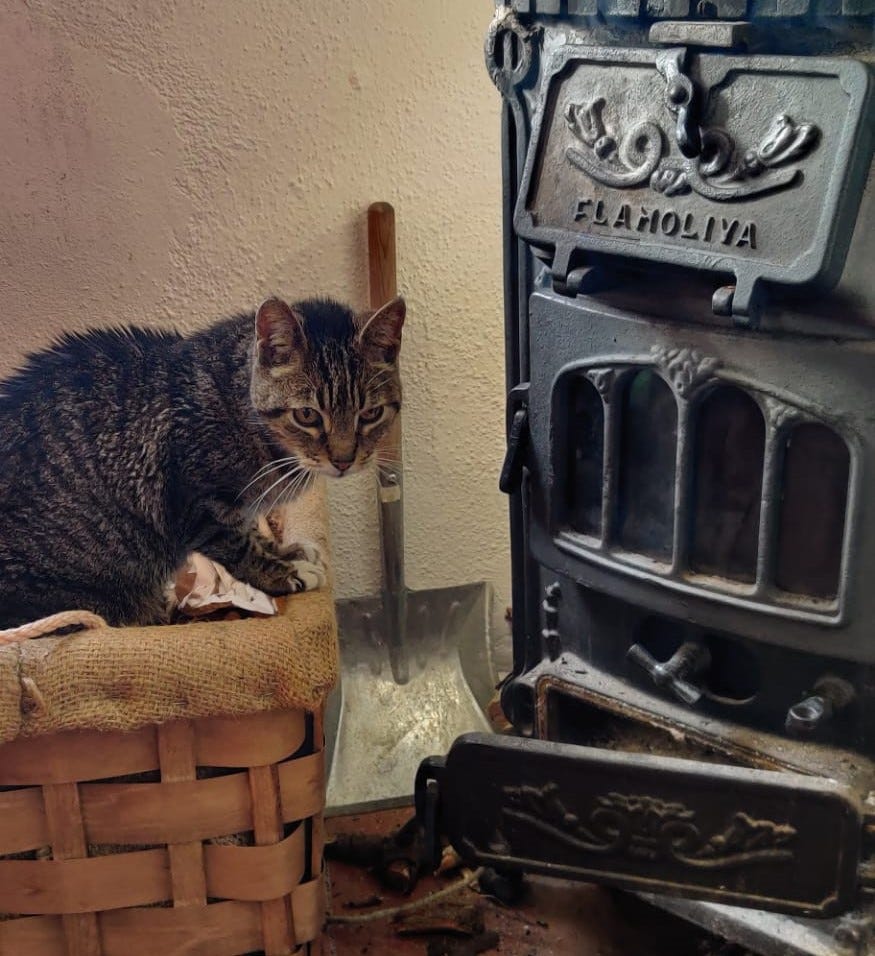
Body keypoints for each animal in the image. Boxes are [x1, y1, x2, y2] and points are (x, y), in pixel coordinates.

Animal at [0, 296, 408, 632]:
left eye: (370, 414)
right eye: (307, 415)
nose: (343, 460)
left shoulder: (238, 506)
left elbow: (252, 531)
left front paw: (284, 551)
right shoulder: (197, 504)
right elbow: (241, 549)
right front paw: (284, 573)